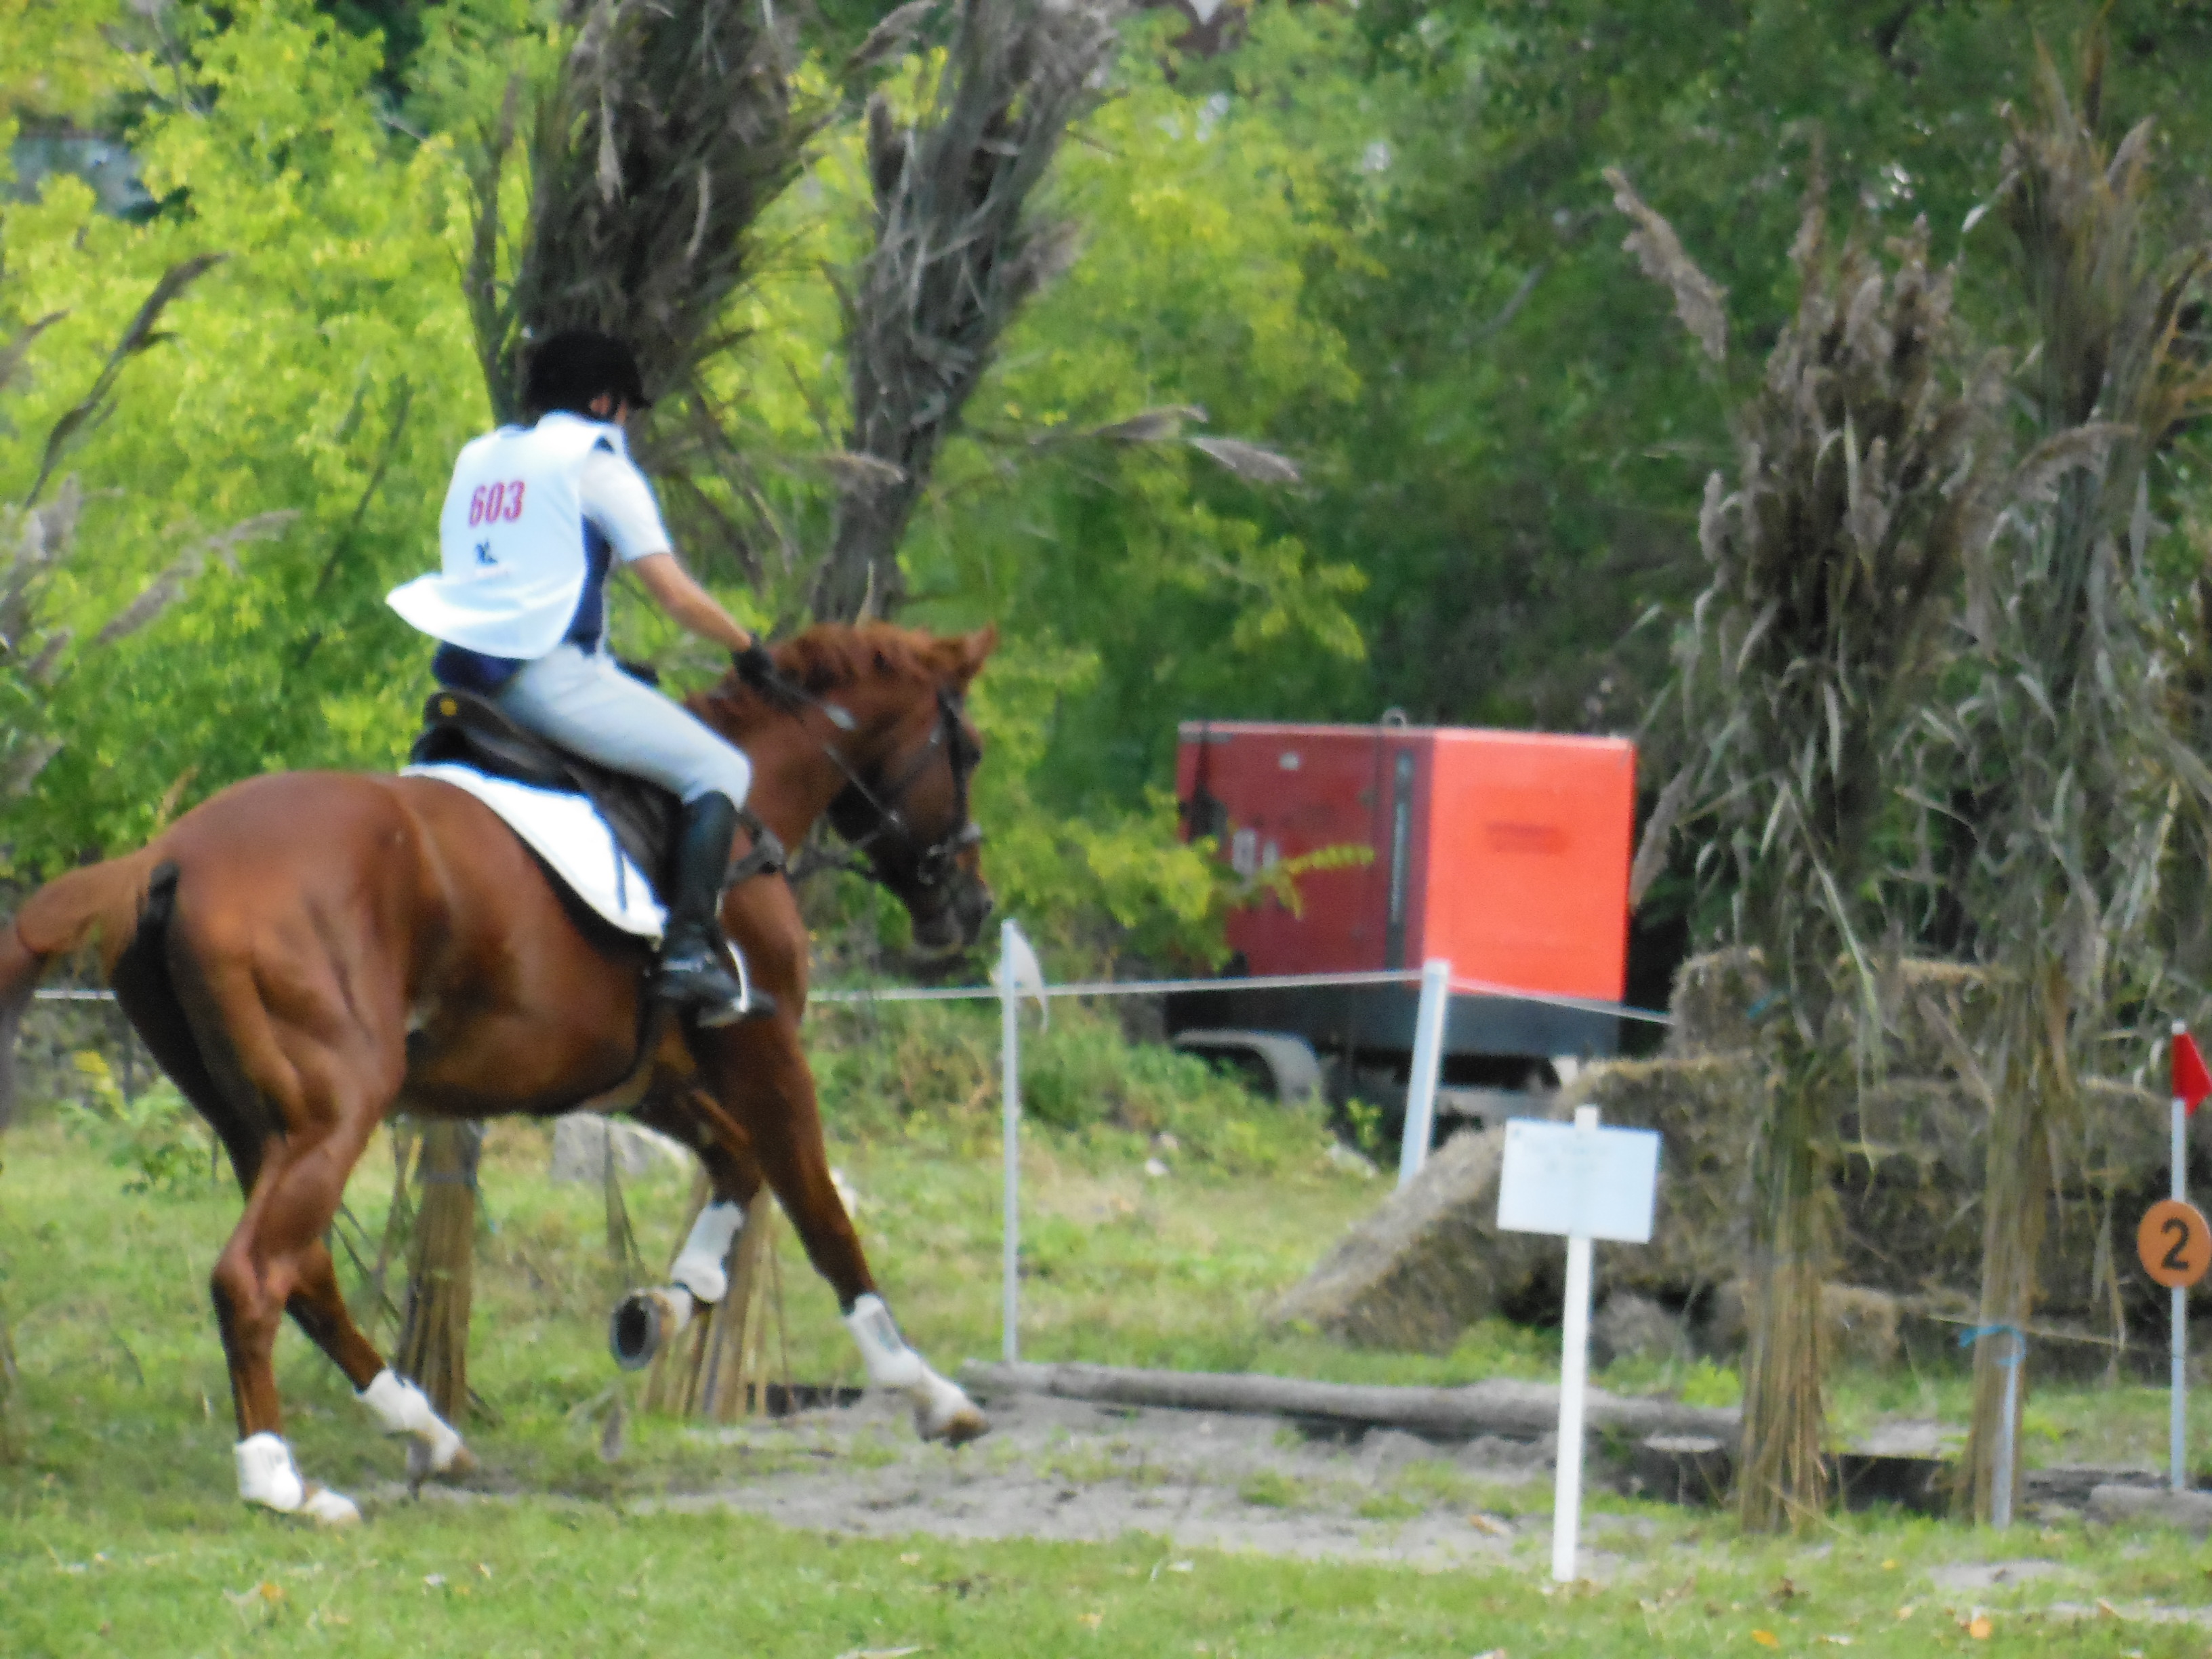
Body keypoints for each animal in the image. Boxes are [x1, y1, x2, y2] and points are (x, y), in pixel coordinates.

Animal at [0, 628, 995, 1530]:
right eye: (970, 752)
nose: (973, 906)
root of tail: (164, 855)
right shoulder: (764, 1048)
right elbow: (820, 1211)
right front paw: (924, 1388)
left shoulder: (653, 1078)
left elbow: (740, 1172)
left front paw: (662, 1309)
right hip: (336, 1110)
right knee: (254, 1275)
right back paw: (284, 1483)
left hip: (257, 1123)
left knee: (305, 1272)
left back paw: (424, 1431)